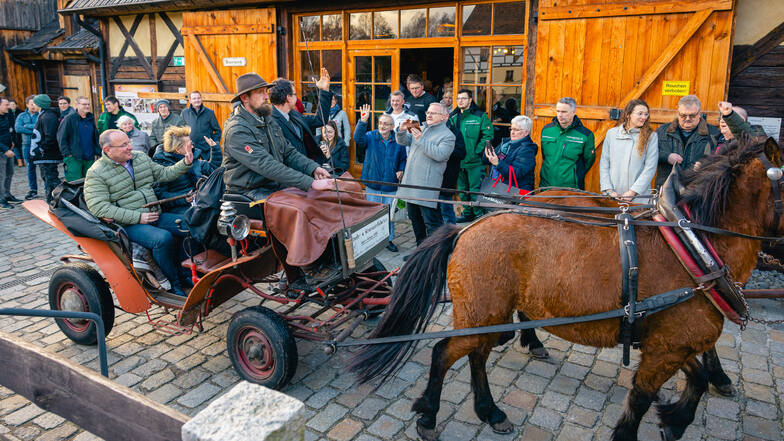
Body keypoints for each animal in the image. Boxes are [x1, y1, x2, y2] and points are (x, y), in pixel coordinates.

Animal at [350, 136, 784, 438]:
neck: (692, 248)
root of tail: (465, 228)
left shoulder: (671, 341)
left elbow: (695, 380)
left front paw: (675, 420)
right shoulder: (668, 347)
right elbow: (640, 400)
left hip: (487, 314)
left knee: (476, 355)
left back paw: (492, 409)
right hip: (481, 312)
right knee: (444, 352)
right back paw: (428, 414)